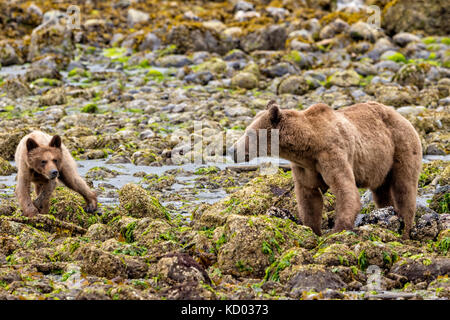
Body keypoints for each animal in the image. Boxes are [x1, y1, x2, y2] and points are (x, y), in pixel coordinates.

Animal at [230, 101, 424, 239]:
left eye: (249, 133)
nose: (232, 150)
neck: (308, 145)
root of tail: (401, 116)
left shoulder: (332, 154)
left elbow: (345, 190)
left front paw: (337, 231)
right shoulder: (305, 167)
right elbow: (309, 197)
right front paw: (311, 229)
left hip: (401, 147)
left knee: (404, 188)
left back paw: (405, 229)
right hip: (381, 163)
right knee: (382, 192)